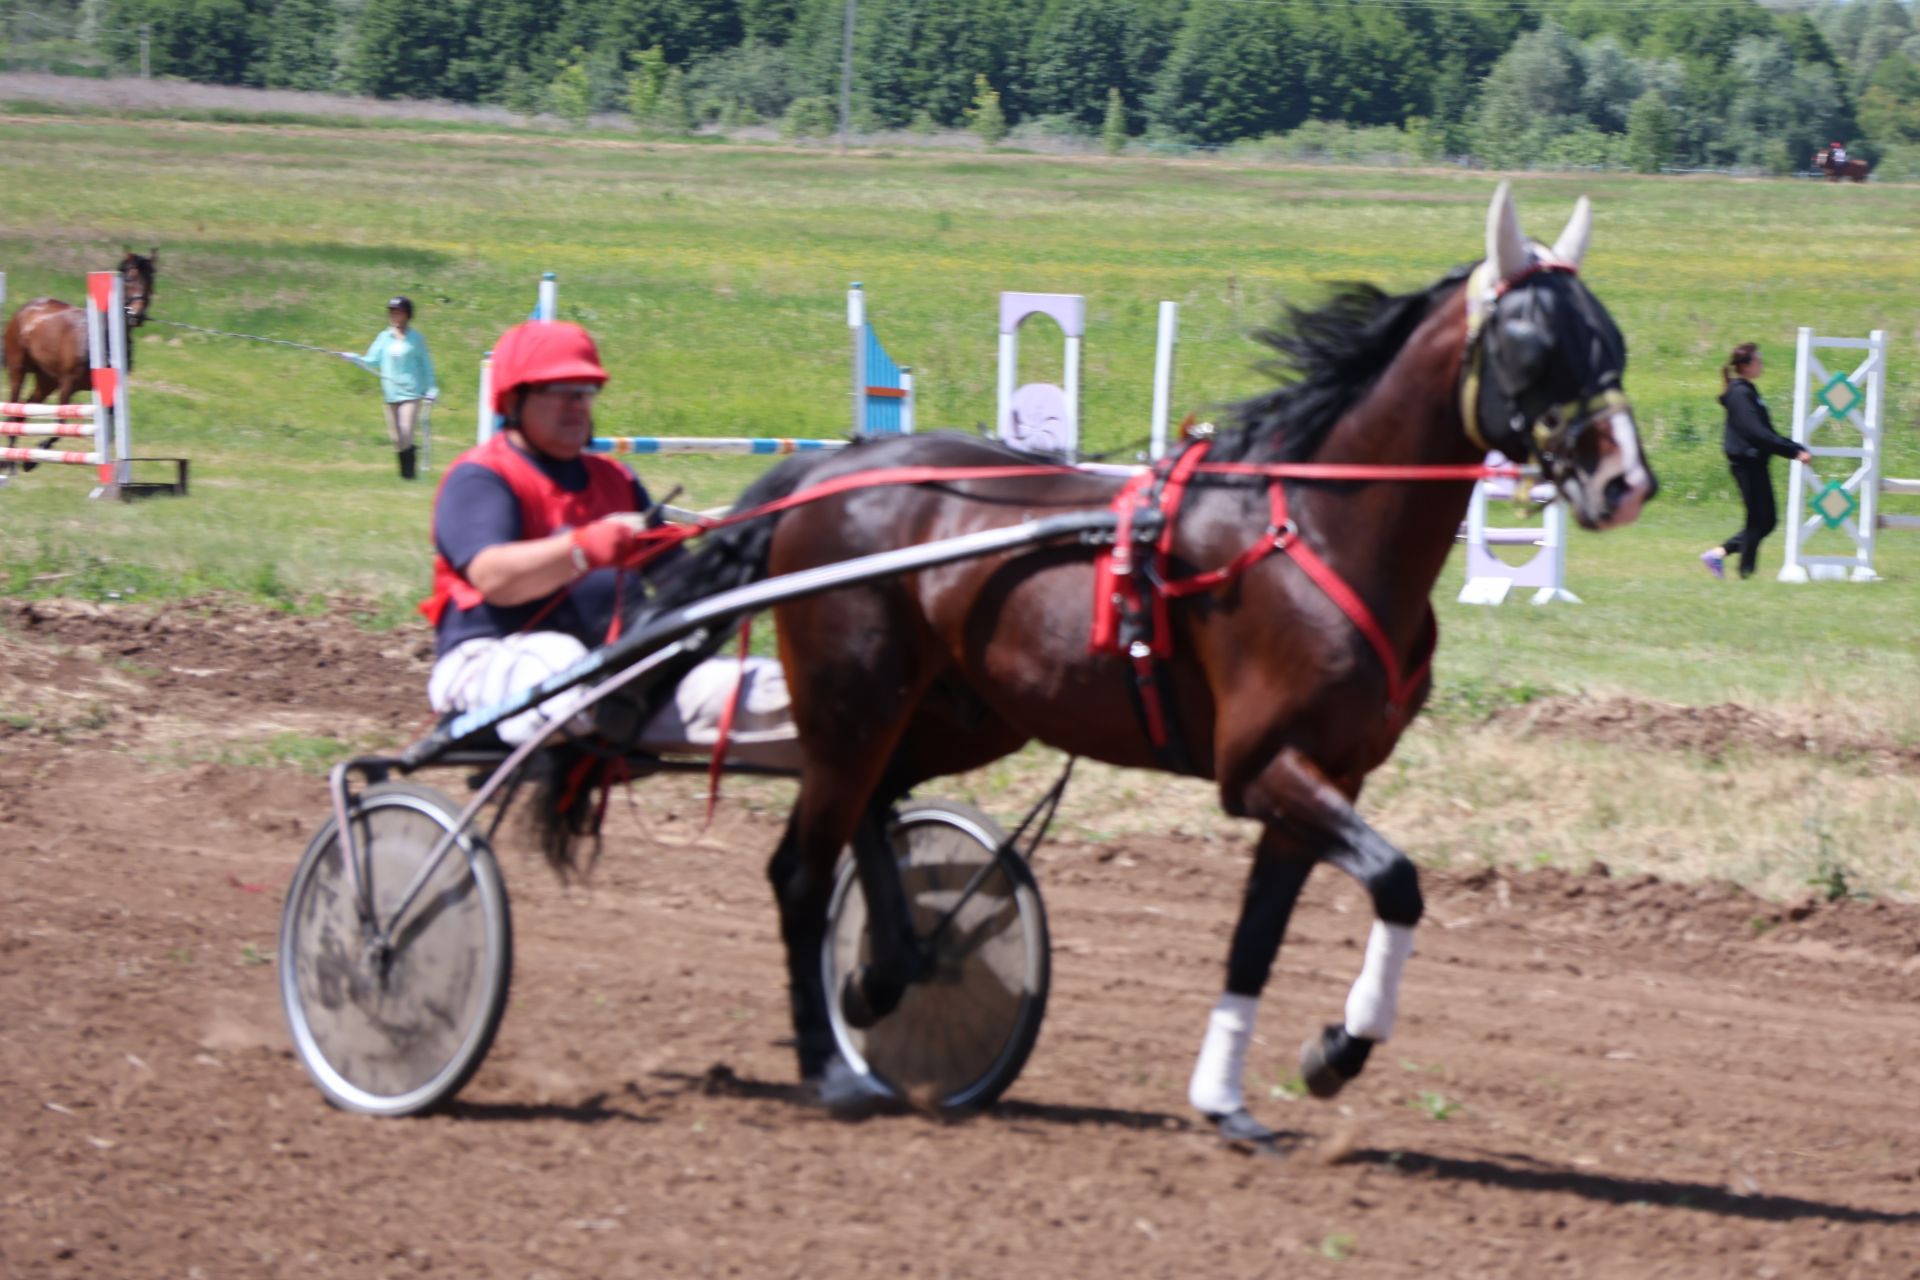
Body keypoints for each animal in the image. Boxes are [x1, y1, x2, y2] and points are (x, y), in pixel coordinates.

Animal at [2, 249, 157, 470]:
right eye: (130, 277)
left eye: (151, 279)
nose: (137, 315)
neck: (103, 337)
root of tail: (24, 310)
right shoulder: (68, 384)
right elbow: (61, 424)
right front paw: (35, 455)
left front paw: (32, 458)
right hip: (18, 369)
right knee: (14, 407)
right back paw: (10, 459)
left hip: (47, 381)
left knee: (24, 408)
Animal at [629, 182, 1651, 1143]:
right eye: (1535, 346)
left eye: (1612, 339)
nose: (1626, 482)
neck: (1314, 531)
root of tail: (831, 471)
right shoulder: (1261, 768)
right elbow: (1397, 880)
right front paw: (1337, 1048)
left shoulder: (1327, 777)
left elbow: (1257, 939)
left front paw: (1232, 1094)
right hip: (853, 703)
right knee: (801, 871)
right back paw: (831, 1067)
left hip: (961, 714)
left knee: (874, 808)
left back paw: (892, 971)